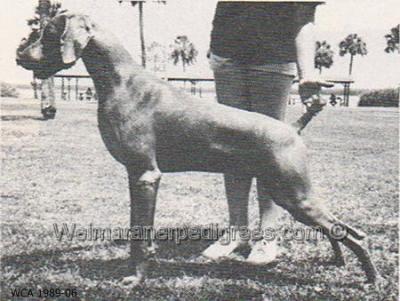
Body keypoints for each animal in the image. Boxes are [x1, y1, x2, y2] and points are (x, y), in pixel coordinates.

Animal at [16, 12, 378, 284]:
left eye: (46, 32)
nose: (19, 54)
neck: (121, 82)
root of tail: (292, 128)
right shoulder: (137, 176)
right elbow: (139, 232)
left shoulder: (145, 175)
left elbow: (138, 235)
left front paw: (134, 279)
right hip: (288, 193)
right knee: (339, 229)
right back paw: (337, 263)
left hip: (293, 194)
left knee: (353, 234)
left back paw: (372, 279)